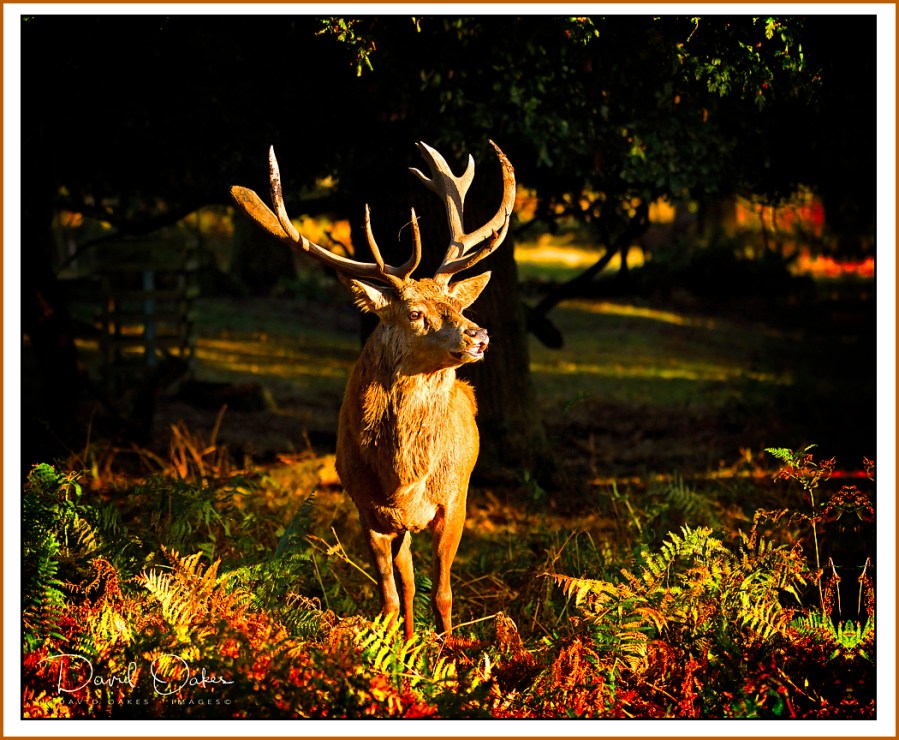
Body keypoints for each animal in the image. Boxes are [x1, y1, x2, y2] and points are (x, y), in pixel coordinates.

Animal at [230, 140, 515, 640]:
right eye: (415, 313)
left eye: (457, 304)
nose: (478, 336)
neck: (403, 479)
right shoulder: (366, 510)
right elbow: (389, 596)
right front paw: (393, 649)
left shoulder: (454, 501)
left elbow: (443, 594)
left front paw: (451, 651)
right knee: (406, 582)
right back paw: (409, 639)